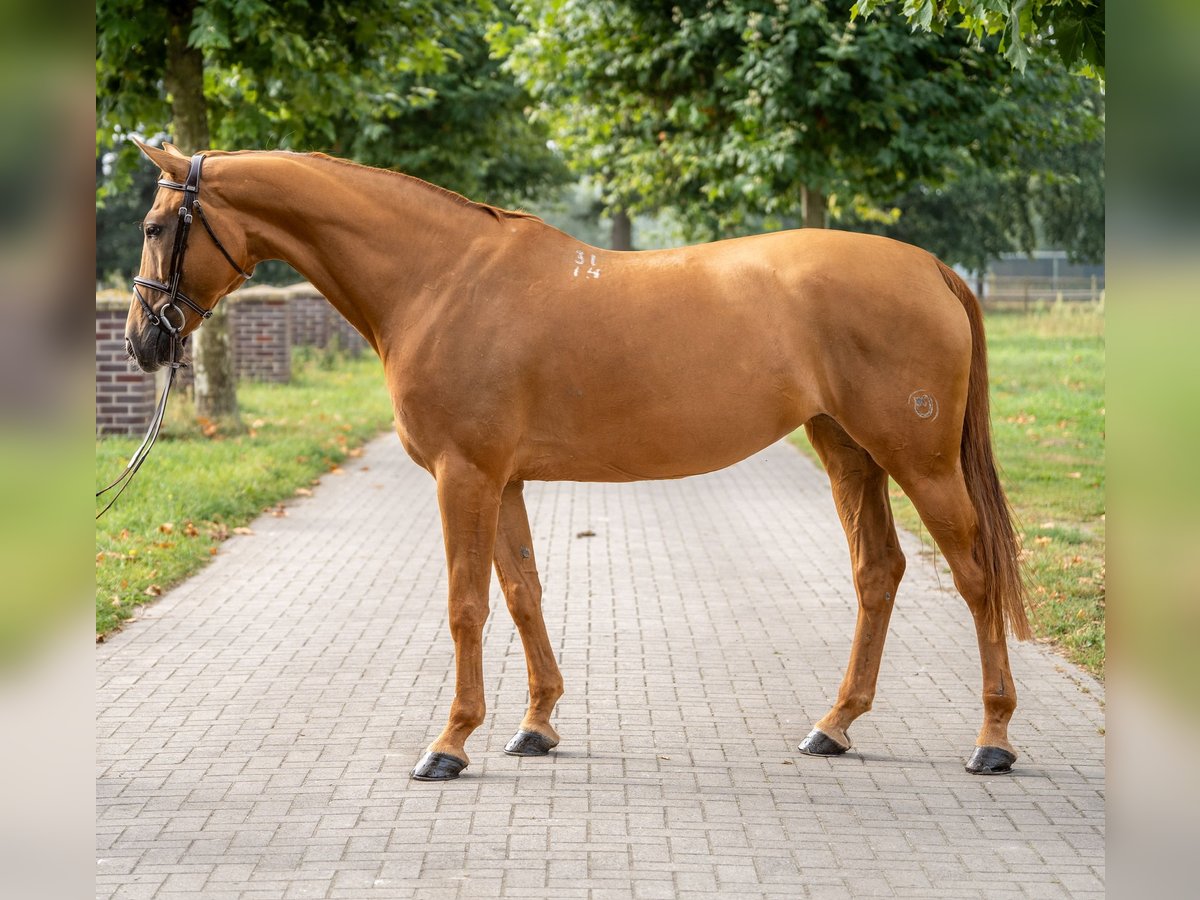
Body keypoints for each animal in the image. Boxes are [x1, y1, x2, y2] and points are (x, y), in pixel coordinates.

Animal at [124, 141, 1032, 782]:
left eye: (157, 227)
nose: (142, 343)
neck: (440, 279)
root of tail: (931, 268)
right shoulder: (504, 481)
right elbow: (523, 592)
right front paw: (536, 726)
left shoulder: (464, 476)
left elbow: (465, 606)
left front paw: (449, 743)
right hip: (847, 451)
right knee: (878, 572)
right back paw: (834, 726)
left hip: (919, 462)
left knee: (975, 574)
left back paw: (992, 739)